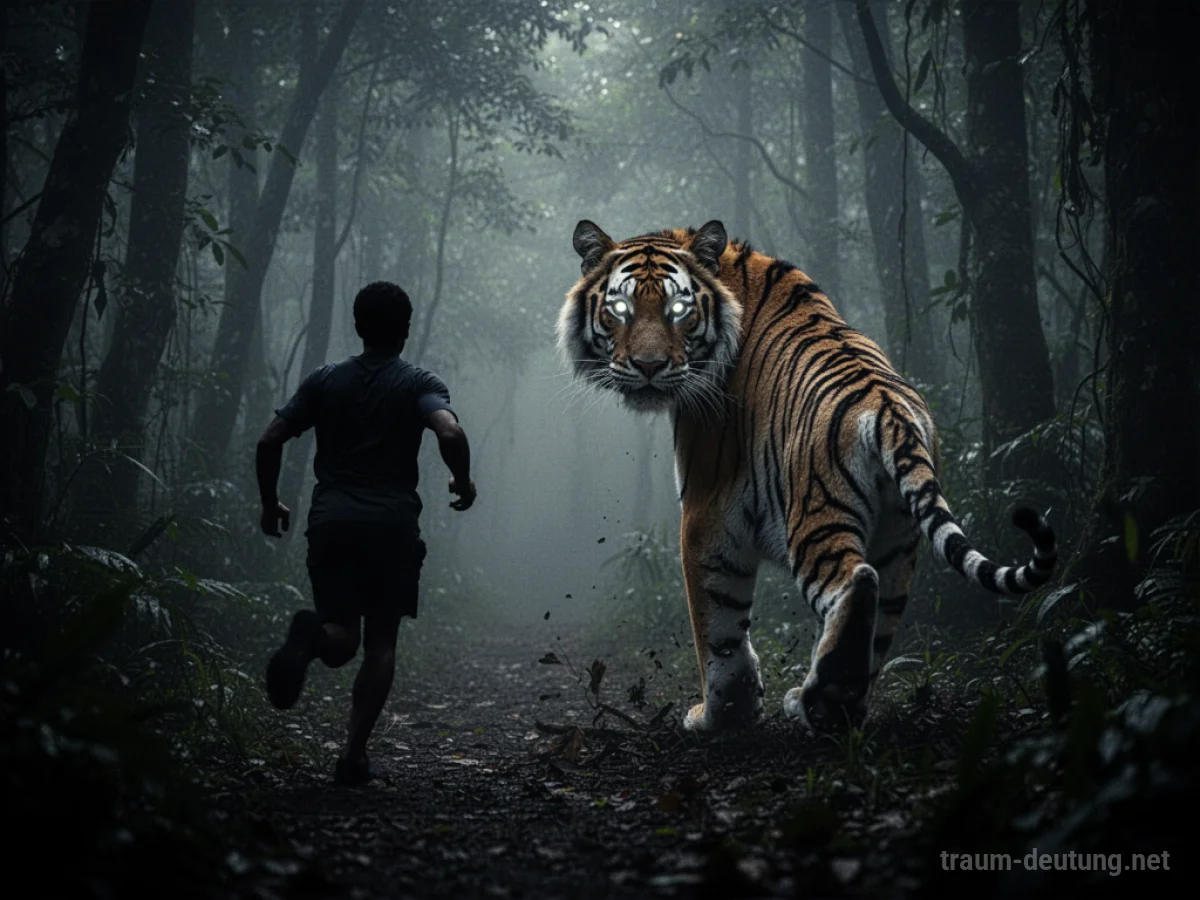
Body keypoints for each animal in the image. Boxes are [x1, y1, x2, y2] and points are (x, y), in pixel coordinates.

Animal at [557, 219, 1058, 733]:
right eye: (620, 308)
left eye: (679, 309)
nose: (650, 366)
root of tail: (890, 409)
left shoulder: (706, 512)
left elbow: (719, 633)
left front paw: (720, 715)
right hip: (899, 538)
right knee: (881, 619)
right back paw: (833, 704)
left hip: (816, 513)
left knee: (855, 585)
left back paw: (817, 701)